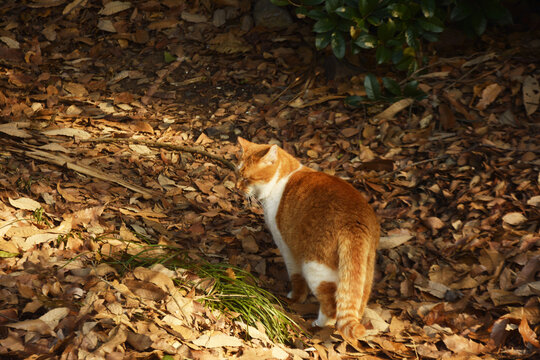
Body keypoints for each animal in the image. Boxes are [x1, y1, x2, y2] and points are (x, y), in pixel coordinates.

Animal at [236, 137, 380, 344]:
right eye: (237, 174)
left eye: (247, 178)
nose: (237, 187)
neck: (283, 177)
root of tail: (353, 221)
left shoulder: (287, 246)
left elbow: (296, 277)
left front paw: (295, 298)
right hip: (364, 269)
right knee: (355, 300)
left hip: (315, 267)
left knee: (331, 306)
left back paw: (318, 324)